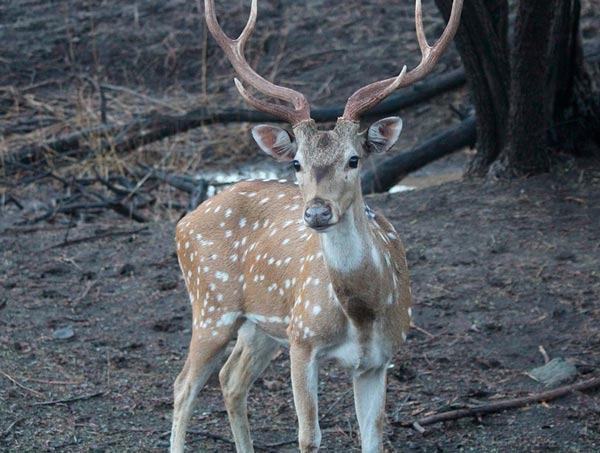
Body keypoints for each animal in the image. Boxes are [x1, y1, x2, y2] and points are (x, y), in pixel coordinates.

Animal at [170, 0, 464, 450]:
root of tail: (184, 221)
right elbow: (308, 435)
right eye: (296, 163)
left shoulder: (379, 359)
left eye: (354, 159)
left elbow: (374, 437)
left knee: (231, 379)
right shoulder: (303, 341)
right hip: (211, 305)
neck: (361, 312)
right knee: (183, 385)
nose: (317, 213)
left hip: (261, 325)